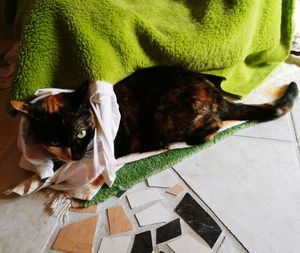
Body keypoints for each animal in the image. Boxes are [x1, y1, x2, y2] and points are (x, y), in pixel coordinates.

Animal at [10, 65, 298, 160]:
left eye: (81, 133)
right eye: (54, 139)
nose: (77, 156)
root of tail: (214, 94)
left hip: (166, 114)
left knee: (215, 124)